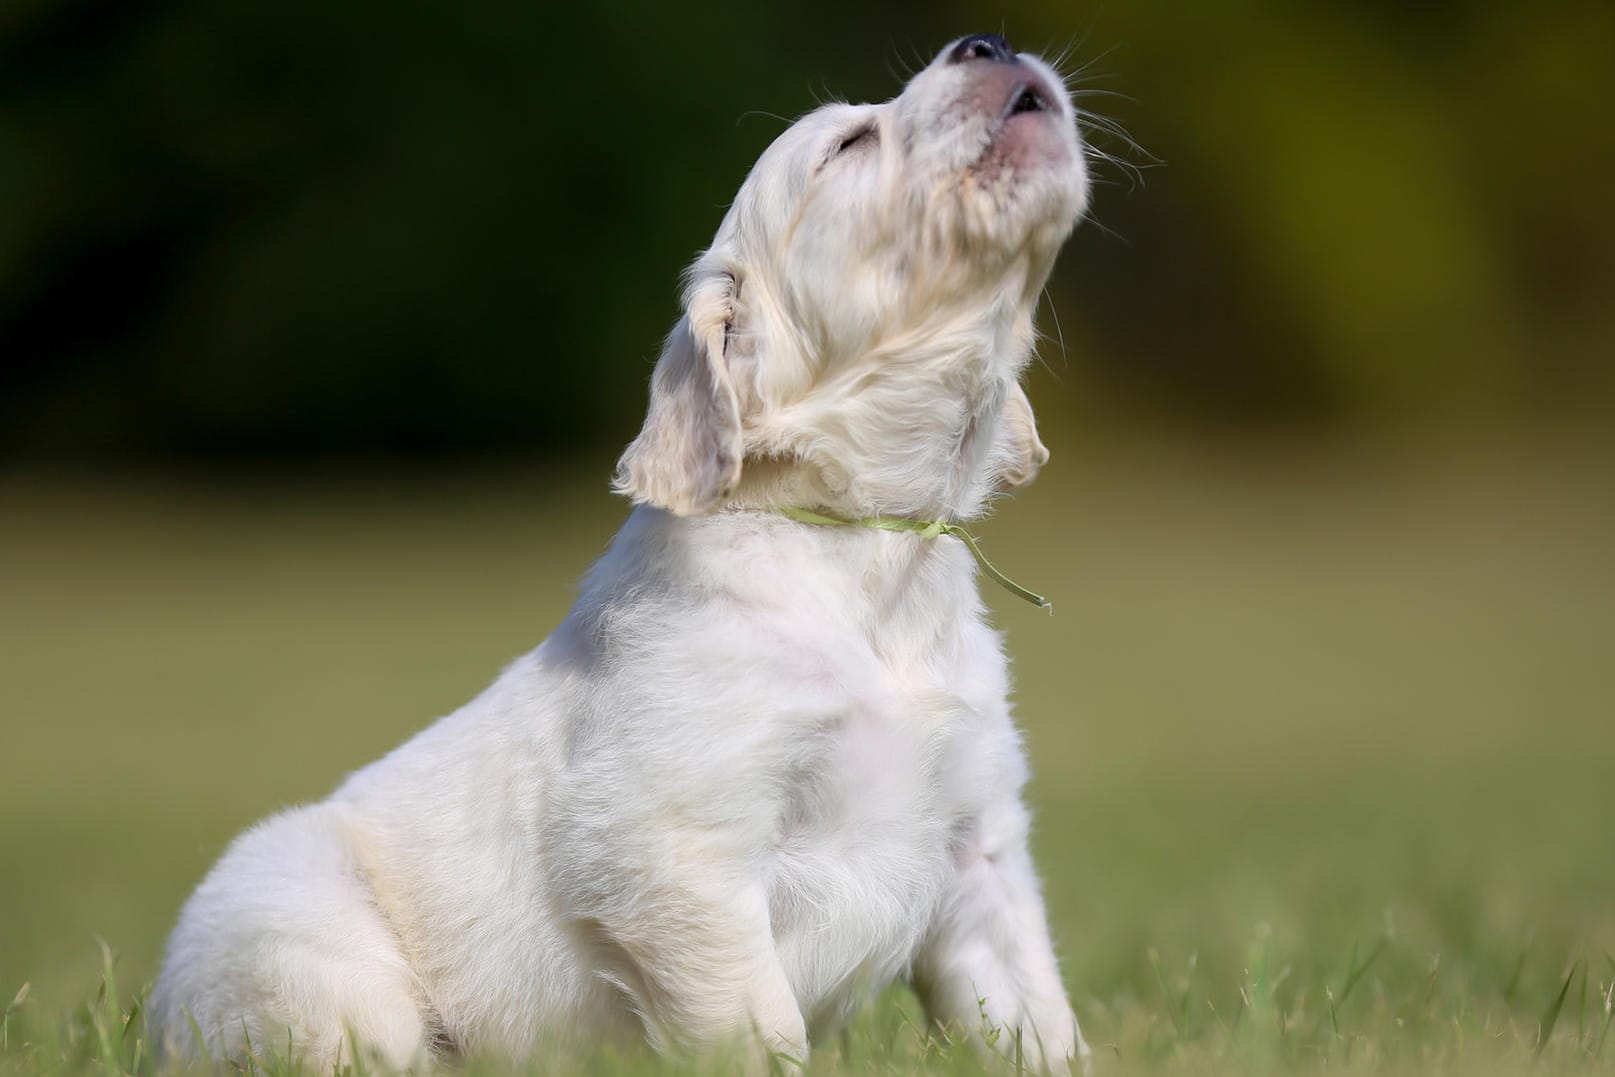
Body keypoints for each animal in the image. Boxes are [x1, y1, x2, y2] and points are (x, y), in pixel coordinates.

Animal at [151, 29, 1091, 1072]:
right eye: (846, 146)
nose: (986, 42)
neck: (863, 548)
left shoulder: (980, 847)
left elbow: (1037, 1018)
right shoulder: (681, 855)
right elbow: (758, 1028)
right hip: (306, 956)